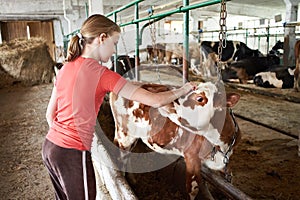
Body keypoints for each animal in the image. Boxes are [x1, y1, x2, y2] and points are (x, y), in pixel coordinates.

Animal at [110, 81, 241, 200]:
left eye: (200, 98)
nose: (170, 102)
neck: (220, 143)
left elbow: (228, 180)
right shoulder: (192, 158)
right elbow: (193, 189)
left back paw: (132, 179)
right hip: (124, 134)